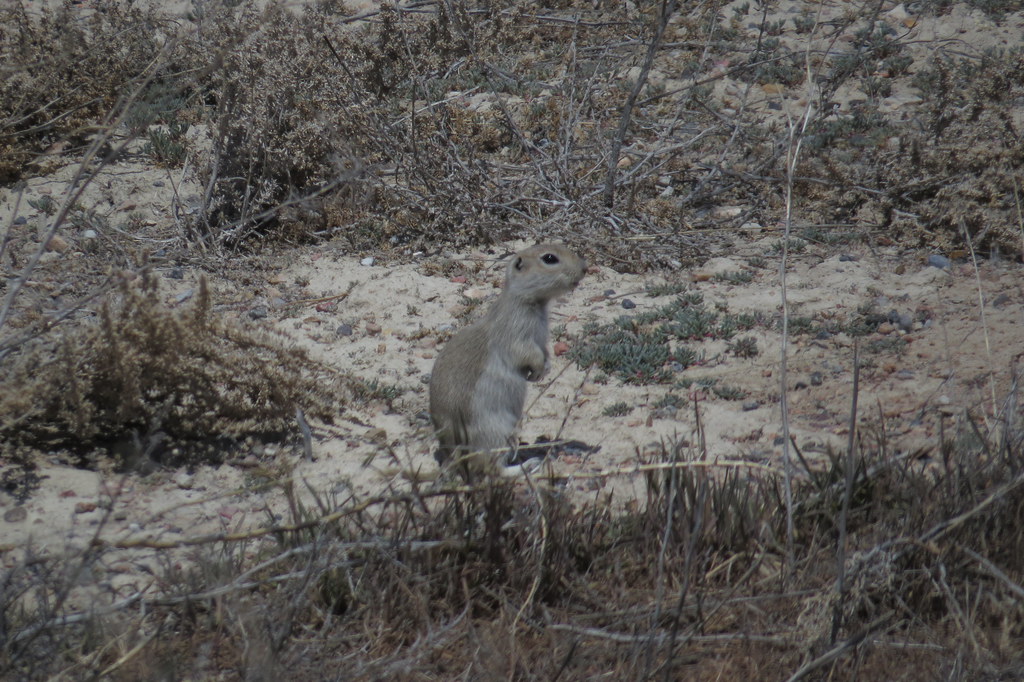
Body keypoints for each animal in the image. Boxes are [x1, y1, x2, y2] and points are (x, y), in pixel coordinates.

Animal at [429, 243, 587, 478]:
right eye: (549, 258)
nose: (585, 269)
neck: (531, 301)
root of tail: (450, 459)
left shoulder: (541, 339)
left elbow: (545, 352)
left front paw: (543, 371)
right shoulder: (517, 335)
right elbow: (529, 354)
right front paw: (538, 371)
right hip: (495, 433)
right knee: (492, 468)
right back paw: (528, 464)